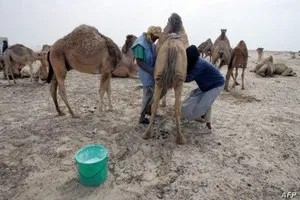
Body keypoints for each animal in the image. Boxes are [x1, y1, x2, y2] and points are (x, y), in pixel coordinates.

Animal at [144, 12, 190, 144]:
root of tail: (172, 46)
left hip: (162, 78)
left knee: (158, 104)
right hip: (177, 80)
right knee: (176, 107)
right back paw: (180, 138)